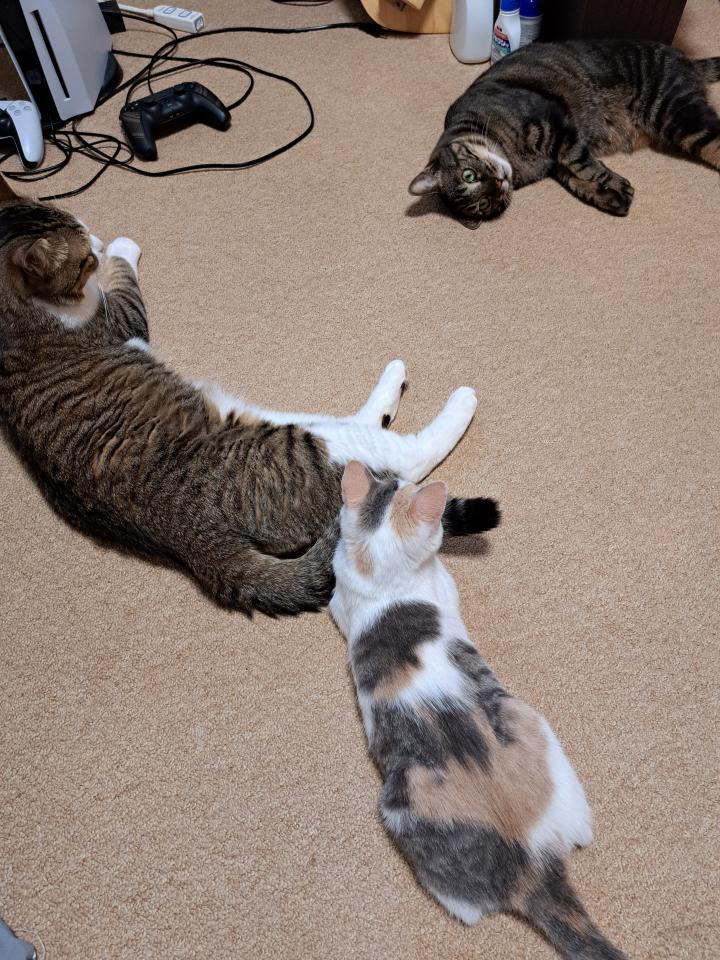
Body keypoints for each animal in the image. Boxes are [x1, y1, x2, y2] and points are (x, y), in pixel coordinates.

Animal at [0, 176, 498, 617]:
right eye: (83, 256)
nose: (95, 240)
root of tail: (196, 545)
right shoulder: (120, 319)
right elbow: (122, 279)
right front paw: (119, 248)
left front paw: (115, 245)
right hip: (307, 446)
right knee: (405, 457)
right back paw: (461, 401)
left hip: (284, 423)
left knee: (365, 420)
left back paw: (394, 379)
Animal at [409, 39, 720, 228]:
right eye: (485, 203)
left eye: (469, 176)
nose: (500, 181)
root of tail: (686, 61)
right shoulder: (556, 159)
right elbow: (577, 177)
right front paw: (610, 195)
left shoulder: (556, 124)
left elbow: (581, 163)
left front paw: (613, 186)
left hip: (675, 112)